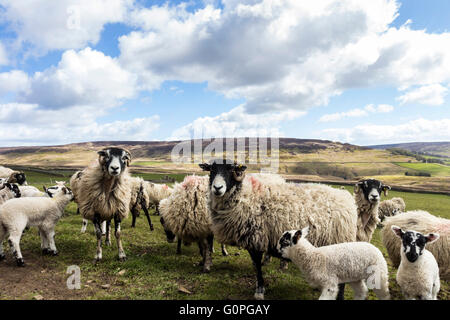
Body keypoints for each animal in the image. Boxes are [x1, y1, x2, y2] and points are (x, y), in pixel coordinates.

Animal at [200, 161, 358, 298]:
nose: (217, 188)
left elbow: (257, 265)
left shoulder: (256, 238)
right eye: (211, 170)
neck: (245, 197)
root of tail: (348, 200)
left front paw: (259, 291)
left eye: (231, 169)